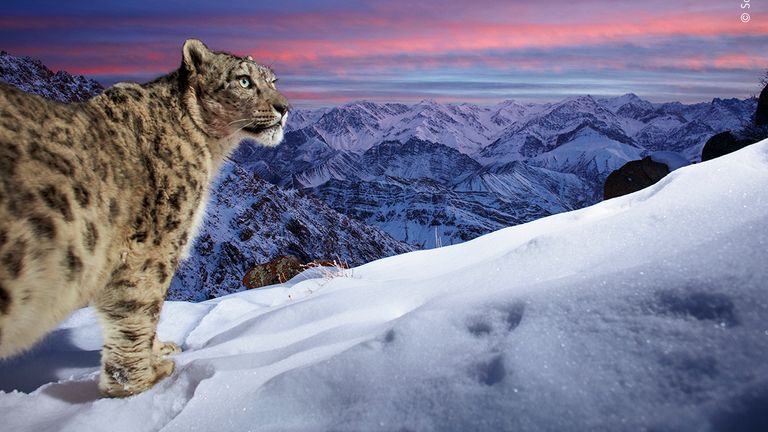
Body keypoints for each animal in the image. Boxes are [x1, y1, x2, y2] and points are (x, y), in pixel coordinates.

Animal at [0, 38, 288, 396]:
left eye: (272, 80)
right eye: (244, 81)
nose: (284, 107)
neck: (211, 151)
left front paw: (159, 350)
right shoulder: (153, 245)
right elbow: (139, 309)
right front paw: (142, 381)